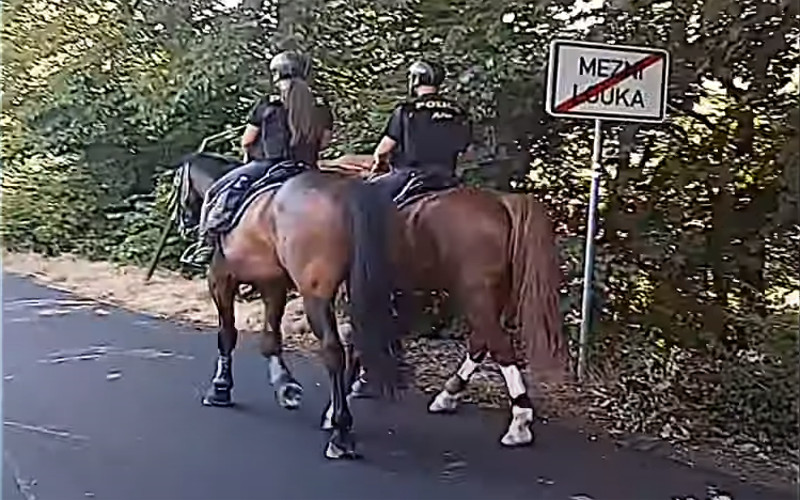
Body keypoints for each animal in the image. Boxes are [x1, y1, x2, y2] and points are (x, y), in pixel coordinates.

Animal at [173, 153, 404, 460]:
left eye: (178, 185)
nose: (183, 221)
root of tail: (347, 192)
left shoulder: (221, 278)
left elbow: (227, 334)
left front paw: (220, 388)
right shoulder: (272, 282)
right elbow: (270, 338)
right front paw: (285, 386)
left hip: (315, 294)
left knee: (333, 350)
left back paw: (340, 432)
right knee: (356, 342)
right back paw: (334, 415)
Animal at [320, 154, 576, 448]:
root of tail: (503, 203)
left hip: (477, 295)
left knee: (498, 345)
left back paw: (519, 422)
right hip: (492, 295)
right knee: (481, 342)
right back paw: (448, 395)